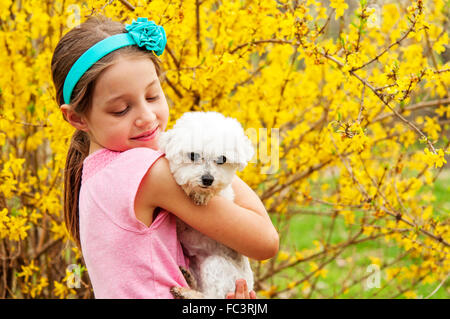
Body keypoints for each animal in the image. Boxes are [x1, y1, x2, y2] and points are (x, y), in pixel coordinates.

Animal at [157, 112, 256, 300]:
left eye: (222, 159)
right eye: (193, 155)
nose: (208, 179)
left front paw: (200, 195)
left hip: (216, 265)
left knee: (211, 296)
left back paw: (186, 292)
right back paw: (188, 280)